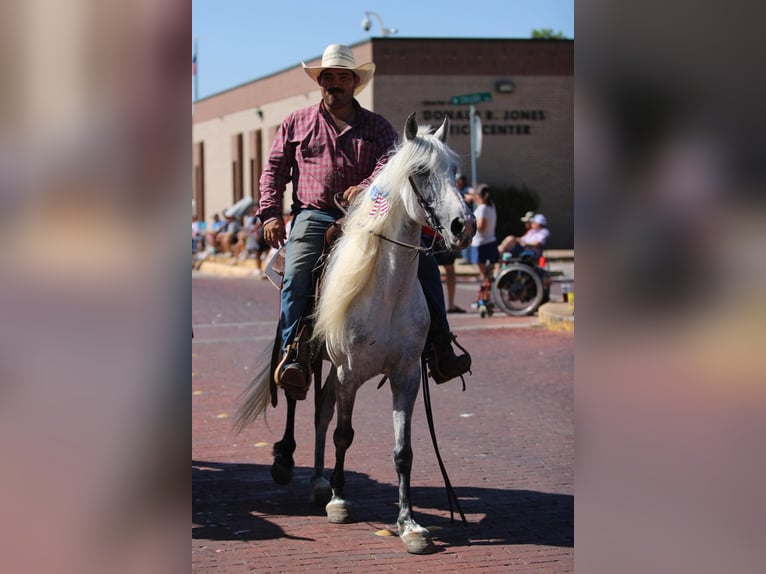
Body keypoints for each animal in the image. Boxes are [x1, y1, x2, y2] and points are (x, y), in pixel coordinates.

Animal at [235, 112, 475, 554]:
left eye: (454, 171)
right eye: (421, 172)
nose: (463, 227)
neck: (386, 293)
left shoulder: (406, 375)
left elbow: (403, 451)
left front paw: (410, 525)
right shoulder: (350, 371)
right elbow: (343, 434)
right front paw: (340, 502)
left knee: (320, 410)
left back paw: (318, 482)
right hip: (309, 356)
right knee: (299, 398)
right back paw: (292, 464)